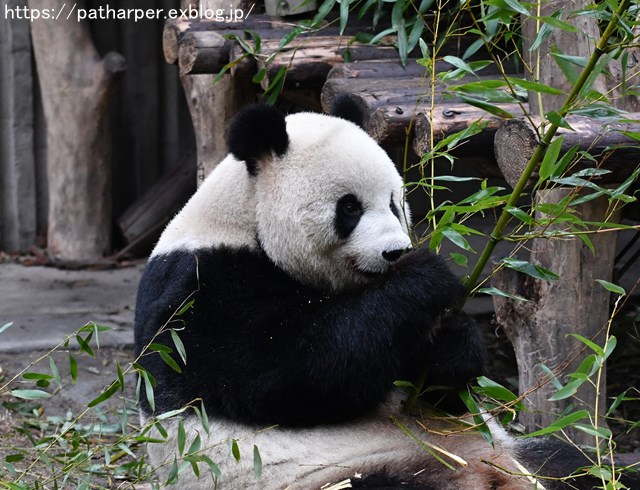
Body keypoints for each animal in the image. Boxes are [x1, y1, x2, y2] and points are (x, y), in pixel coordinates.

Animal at [135, 101, 620, 488]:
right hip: (343, 476)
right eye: (348, 207)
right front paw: (426, 278)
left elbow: (433, 382)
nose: (395, 253)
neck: (244, 219)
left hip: (516, 452)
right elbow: (292, 370)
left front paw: (452, 342)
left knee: (572, 464)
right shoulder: (202, 291)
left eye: (393, 202)